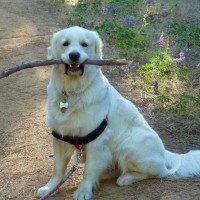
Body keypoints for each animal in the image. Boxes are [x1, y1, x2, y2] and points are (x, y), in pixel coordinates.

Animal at [37, 25, 200, 199]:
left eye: (84, 44)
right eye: (65, 44)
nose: (74, 55)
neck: (71, 91)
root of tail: (164, 153)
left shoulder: (97, 140)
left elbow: (88, 171)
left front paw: (83, 191)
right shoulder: (59, 136)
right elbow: (58, 169)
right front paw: (50, 188)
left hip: (129, 143)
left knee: (159, 172)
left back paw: (126, 177)